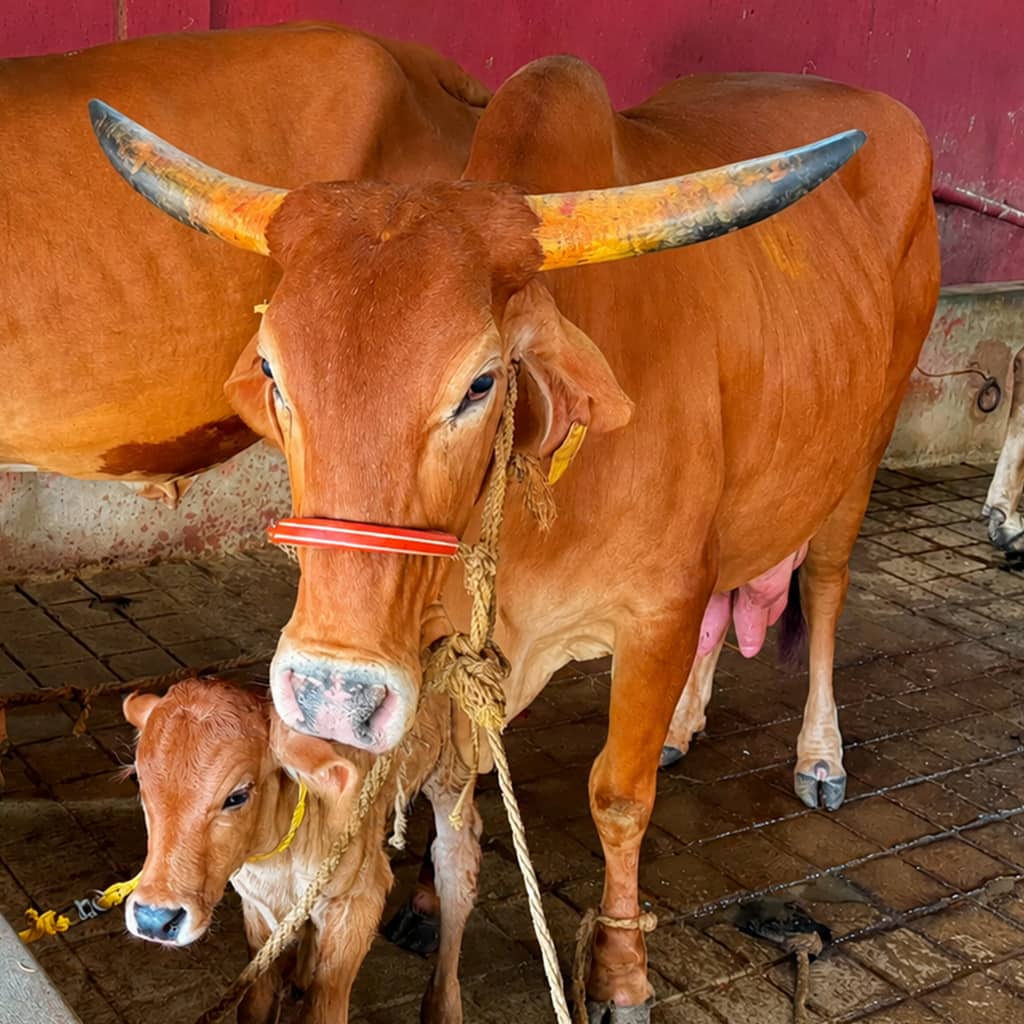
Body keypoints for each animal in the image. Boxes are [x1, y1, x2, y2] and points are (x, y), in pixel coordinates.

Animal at [123, 678, 480, 1023]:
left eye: (237, 796)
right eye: (139, 783)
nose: (155, 918)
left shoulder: (358, 901)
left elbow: (323, 1012)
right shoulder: (258, 902)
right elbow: (255, 1004)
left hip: (454, 773)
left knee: (455, 869)